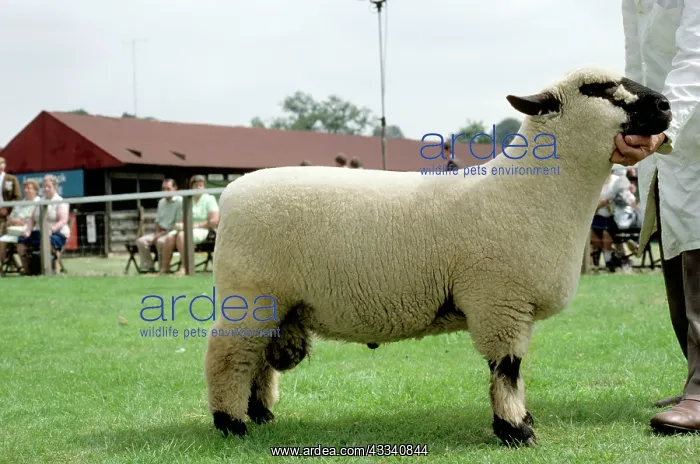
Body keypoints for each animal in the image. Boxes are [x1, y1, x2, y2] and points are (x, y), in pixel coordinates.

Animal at [204, 66, 672, 447]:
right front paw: (515, 429)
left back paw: (261, 414)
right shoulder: (499, 303)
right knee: (228, 357)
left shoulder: (510, 306)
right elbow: (507, 370)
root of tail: (231, 192)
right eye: (597, 88)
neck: (526, 192)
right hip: (249, 295)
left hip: (275, 304)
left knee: (256, 361)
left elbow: (512, 372)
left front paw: (522, 420)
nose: (666, 106)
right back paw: (231, 423)